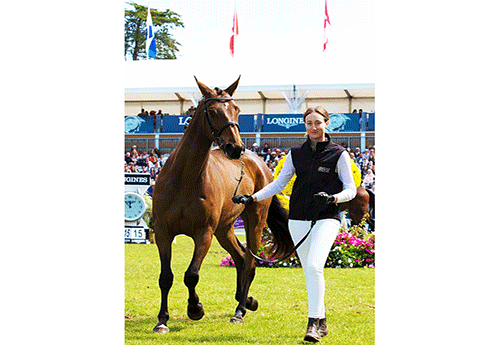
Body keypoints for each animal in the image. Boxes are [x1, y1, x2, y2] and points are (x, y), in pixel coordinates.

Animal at [150, 76, 294, 330]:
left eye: (236, 109)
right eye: (212, 111)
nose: (235, 147)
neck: (185, 179)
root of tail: (260, 164)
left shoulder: (204, 233)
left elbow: (192, 275)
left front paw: (195, 308)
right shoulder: (163, 232)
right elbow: (166, 277)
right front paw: (162, 320)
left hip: (254, 223)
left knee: (249, 263)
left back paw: (240, 310)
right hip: (224, 229)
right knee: (240, 257)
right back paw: (246, 300)